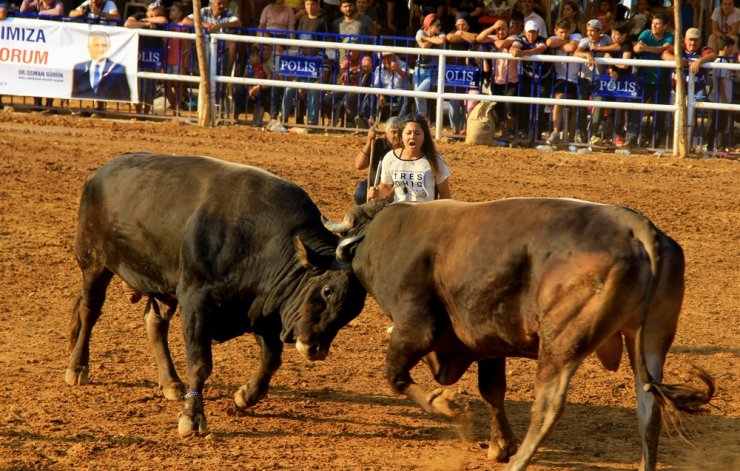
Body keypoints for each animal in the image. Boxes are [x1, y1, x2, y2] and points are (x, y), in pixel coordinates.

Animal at [66, 153, 364, 436]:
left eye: (352, 311)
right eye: (327, 290)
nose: (316, 350)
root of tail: (98, 174)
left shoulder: (259, 310)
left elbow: (271, 359)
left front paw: (246, 396)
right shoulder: (196, 302)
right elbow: (200, 364)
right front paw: (193, 417)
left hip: (161, 284)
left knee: (154, 322)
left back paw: (171, 382)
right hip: (94, 262)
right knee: (90, 312)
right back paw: (77, 368)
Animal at [326, 200, 716, 471]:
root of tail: (636, 228)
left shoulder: (415, 326)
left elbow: (396, 376)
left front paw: (448, 404)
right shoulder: (488, 341)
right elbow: (493, 391)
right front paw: (500, 443)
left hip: (561, 343)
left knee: (548, 407)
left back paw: (519, 462)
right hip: (649, 342)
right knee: (648, 412)